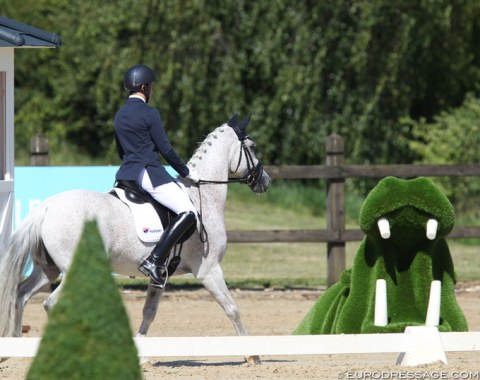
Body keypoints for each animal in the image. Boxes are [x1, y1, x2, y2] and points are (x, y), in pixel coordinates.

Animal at [0, 115, 270, 362]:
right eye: (253, 146)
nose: (265, 181)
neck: (201, 195)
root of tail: (46, 208)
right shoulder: (209, 269)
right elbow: (232, 309)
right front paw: (252, 355)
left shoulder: (160, 276)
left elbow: (149, 312)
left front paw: (141, 353)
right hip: (72, 269)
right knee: (52, 303)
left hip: (48, 270)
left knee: (21, 294)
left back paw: (15, 347)